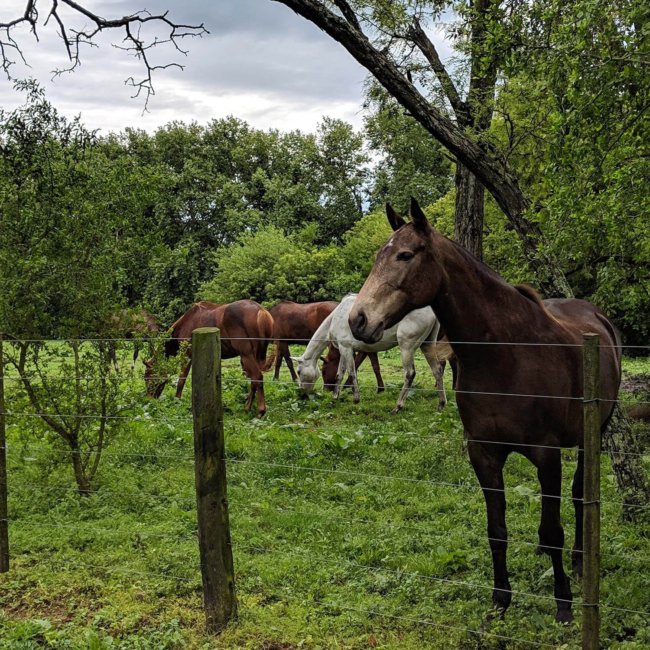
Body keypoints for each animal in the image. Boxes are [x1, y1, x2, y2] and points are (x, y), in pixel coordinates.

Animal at [146, 298, 274, 416]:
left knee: (257, 377)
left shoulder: (187, 356)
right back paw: (247, 408)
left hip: (246, 355)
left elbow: (181, 380)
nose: (149, 400)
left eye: (149, 377)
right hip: (254, 356)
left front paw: (177, 401)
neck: (185, 323)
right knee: (254, 380)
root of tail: (261, 311)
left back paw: (260, 411)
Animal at [292, 292, 446, 410]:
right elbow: (339, 374)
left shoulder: (347, 349)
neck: (336, 317)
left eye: (299, 371)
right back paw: (441, 404)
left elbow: (352, 373)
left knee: (410, 374)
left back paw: (398, 406)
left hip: (406, 347)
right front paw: (336, 397)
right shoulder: (343, 349)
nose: (302, 393)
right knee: (437, 370)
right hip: (427, 345)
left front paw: (355, 399)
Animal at [346, 199, 620, 624]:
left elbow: (553, 529)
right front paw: (500, 599)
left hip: (595, 432)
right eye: (379, 255)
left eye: (405, 255)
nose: (358, 320)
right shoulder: (483, 453)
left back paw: (578, 563)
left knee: (578, 497)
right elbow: (497, 530)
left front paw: (563, 603)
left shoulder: (547, 455)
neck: (505, 354)